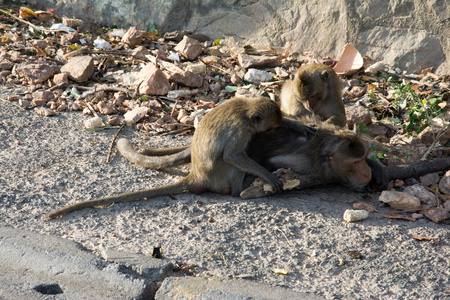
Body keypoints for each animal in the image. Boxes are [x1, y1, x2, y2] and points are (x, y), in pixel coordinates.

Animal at [44, 97, 312, 219]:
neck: (245, 111)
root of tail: (195, 175)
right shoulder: (241, 130)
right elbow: (232, 154)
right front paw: (266, 175)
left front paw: (297, 124)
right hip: (220, 176)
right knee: (231, 164)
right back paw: (240, 188)